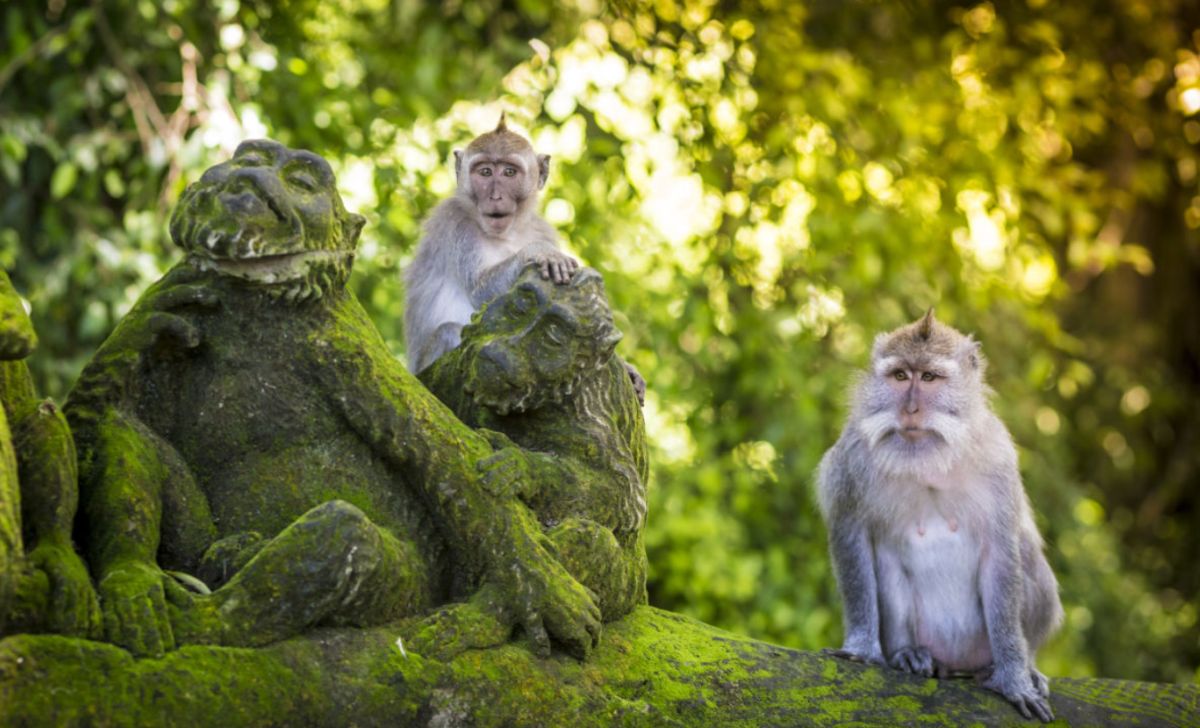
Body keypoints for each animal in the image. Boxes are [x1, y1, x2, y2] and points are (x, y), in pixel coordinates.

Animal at [403, 114, 580, 375]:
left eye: (509, 172)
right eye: (485, 172)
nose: (495, 196)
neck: (507, 233)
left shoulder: (542, 229)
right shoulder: (456, 223)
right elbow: (479, 290)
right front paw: (538, 252)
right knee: (449, 331)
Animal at [816, 310, 1062, 723]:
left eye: (929, 377)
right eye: (901, 376)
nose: (910, 410)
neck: (928, 459)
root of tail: (956, 663)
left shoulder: (998, 458)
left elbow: (1002, 554)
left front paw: (1014, 678)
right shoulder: (853, 458)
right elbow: (851, 536)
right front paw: (863, 648)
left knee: (1027, 555)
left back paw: (1019, 665)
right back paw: (908, 654)